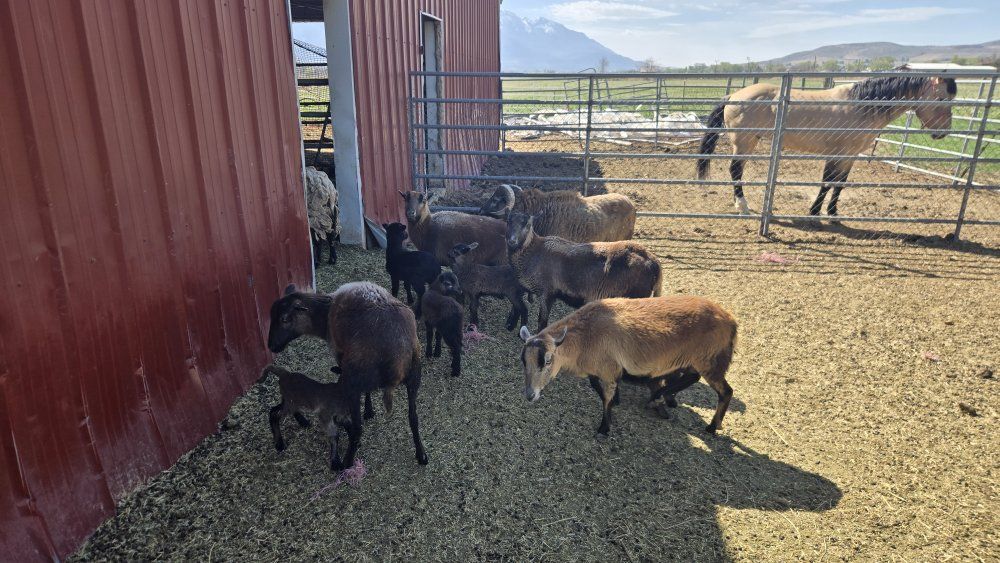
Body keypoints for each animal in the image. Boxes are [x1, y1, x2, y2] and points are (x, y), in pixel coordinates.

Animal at [267, 282, 428, 468]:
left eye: (284, 319)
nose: (271, 346)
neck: (324, 316)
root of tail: (396, 356)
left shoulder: (341, 357)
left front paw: (367, 410)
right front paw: (369, 410)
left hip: (354, 380)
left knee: (358, 428)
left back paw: (347, 461)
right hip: (415, 374)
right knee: (413, 417)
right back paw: (421, 454)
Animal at [506, 212, 662, 330]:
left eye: (527, 224)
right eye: (508, 221)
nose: (511, 241)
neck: (532, 251)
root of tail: (652, 260)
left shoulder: (547, 293)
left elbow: (542, 322)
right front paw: (510, 323)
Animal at [518, 295, 738, 437]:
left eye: (547, 360)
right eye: (523, 361)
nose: (530, 395)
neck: (584, 339)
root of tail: (731, 321)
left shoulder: (609, 370)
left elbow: (606, 397)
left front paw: (604, 428)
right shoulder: (599, 371)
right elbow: (597, 388)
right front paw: (614, 407)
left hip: (710, 359)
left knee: (726, 391)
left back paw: (712, 427)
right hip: (695, 359)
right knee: (693, 377)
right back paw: (661, 396)